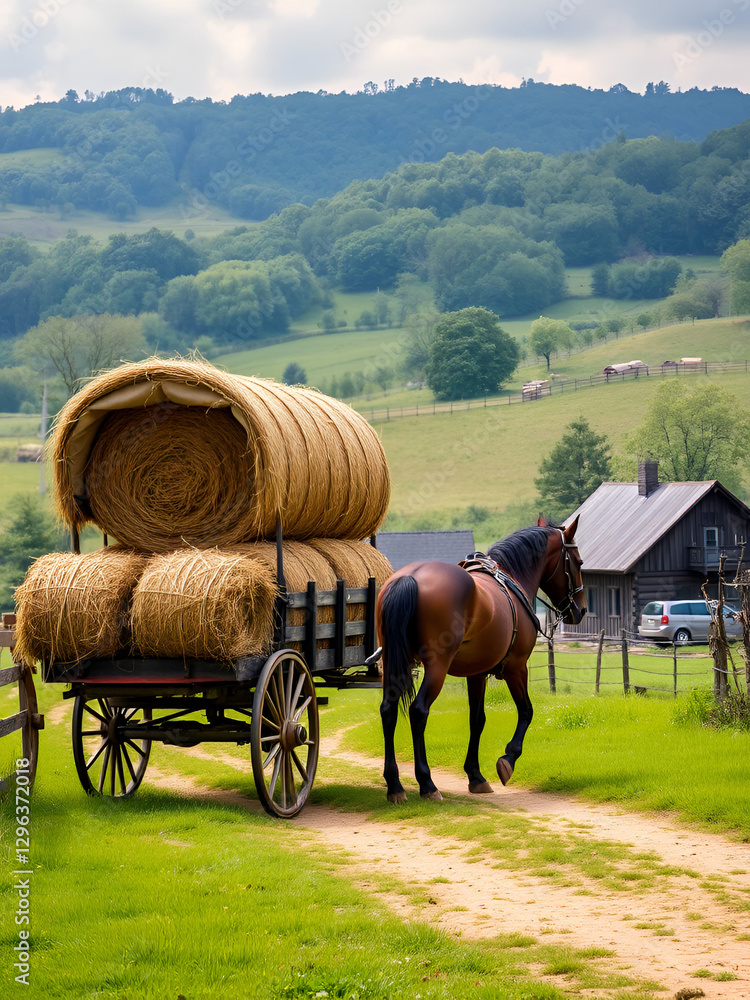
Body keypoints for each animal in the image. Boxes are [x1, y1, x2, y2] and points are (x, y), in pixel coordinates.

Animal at [374, 516, 586, 803]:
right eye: (578, 562)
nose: (581, 610)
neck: (512, 576)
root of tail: (411, 576)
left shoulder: (476, 673)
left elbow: (477, 720)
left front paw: (475, 776)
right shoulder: (516, 668)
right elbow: (526, 711)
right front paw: (508, 759)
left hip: (392, 663)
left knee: (389, 710)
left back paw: (395, 784)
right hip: (436, 667)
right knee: (419, 711)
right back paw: (427, 783)